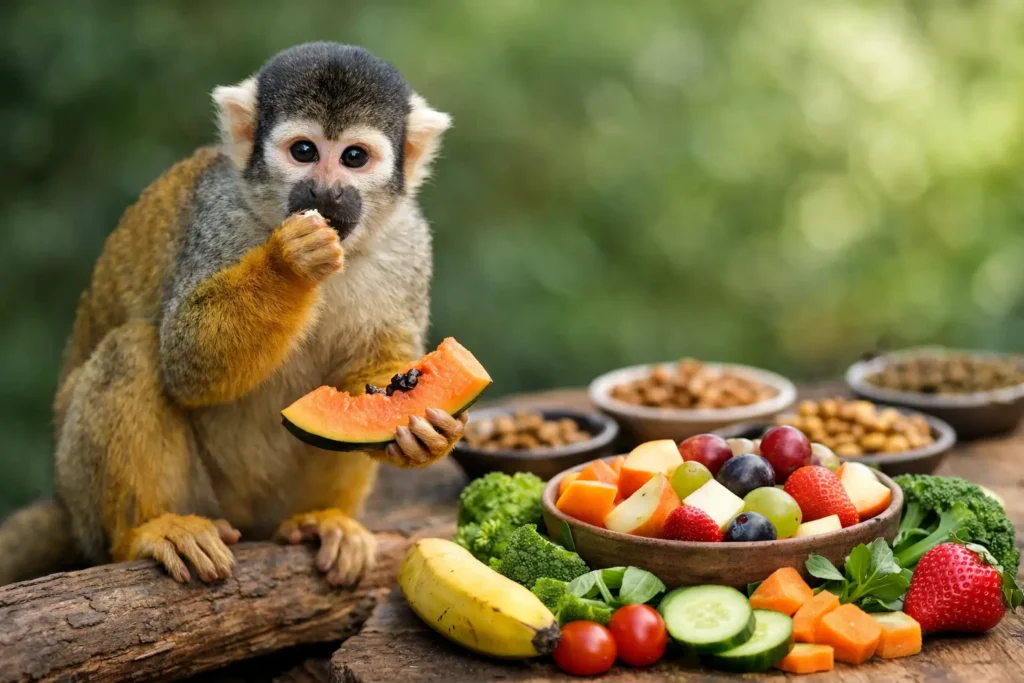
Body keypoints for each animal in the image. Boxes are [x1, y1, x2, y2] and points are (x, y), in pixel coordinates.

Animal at [0, 42, 462, 587]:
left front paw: (422, 432)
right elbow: (189, 361)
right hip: (107, 500)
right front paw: (288, 263)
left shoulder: (407, 244)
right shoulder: (217, 216)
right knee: (130, 350)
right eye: (304, 152)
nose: (325, 193)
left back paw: (322, 519)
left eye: (354, 157)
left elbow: (369, 376)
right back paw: (147, 531)